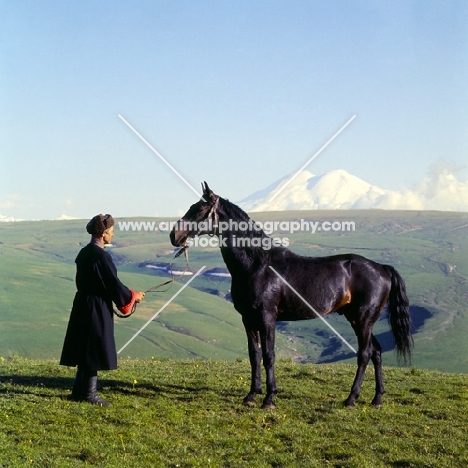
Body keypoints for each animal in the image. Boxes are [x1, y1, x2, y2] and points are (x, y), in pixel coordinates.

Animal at [170, 183, 412, 410]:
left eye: (200, 209)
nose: (174, 235)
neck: (257, 265)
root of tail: (381, 268)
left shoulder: (267, 318)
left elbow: (269, 356)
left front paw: (269, 399)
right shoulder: (248, 319)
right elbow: (254, 356)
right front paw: (251, 396)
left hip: (362, 319)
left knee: (365, 353)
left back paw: (351, 399)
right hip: (359, 320)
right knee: (376, 351)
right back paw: (377, 398)